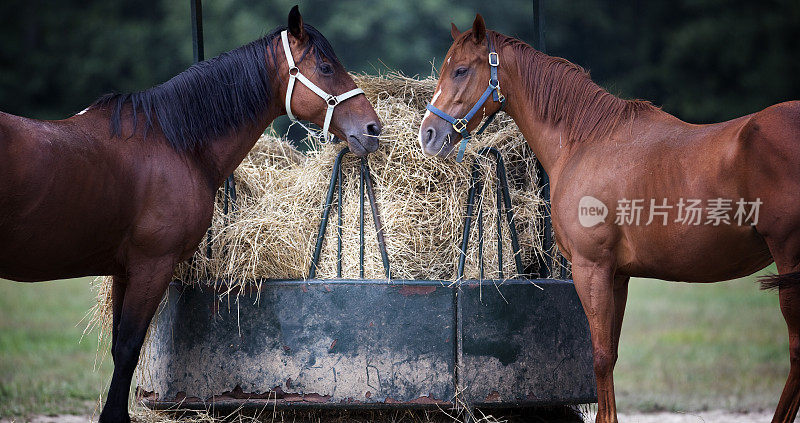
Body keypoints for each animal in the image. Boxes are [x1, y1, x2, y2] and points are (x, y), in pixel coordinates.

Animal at [0, 7, 382, 423]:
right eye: (326, 67)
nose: (373, 128)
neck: (173, 143)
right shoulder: (152, 265)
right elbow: (128, 348)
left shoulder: (124, 270)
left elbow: (120, 346)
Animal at [422, 14, 800, 423]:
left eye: (460, 70)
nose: (428, 134)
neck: (587, 141)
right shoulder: (617, 275)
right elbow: (612, 355)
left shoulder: (592, 268)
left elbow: (601, 358)